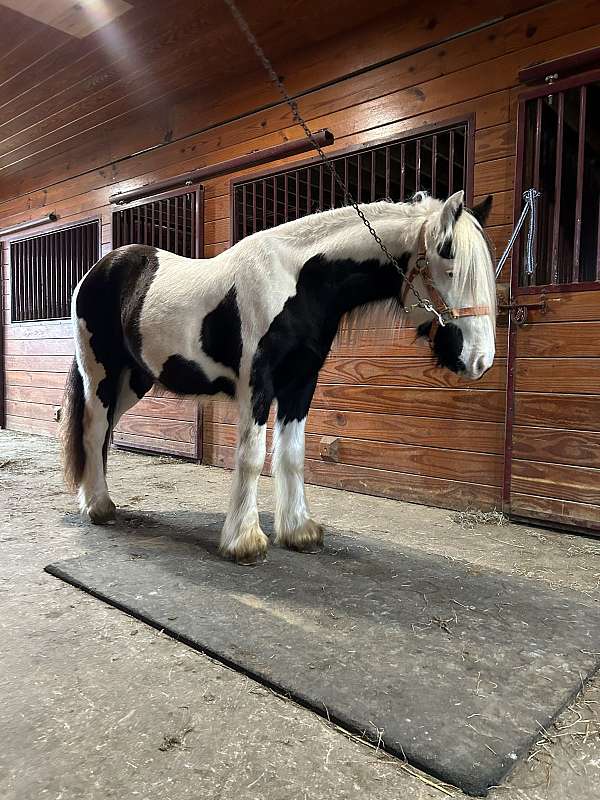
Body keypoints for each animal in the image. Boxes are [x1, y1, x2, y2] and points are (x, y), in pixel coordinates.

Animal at [61, 188, 494, 564]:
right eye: (450, 265)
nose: (479, 359)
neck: (296, 282)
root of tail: (99, 270)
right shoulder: (257, 384)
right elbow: (252, 456)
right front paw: (244, 541)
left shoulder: (300, 384)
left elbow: (292, 454)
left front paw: (299, 530)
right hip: (100, 373)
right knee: (93, 430)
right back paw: (98, 507)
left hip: (134, 380)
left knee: (102, 433)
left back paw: (94, 498)